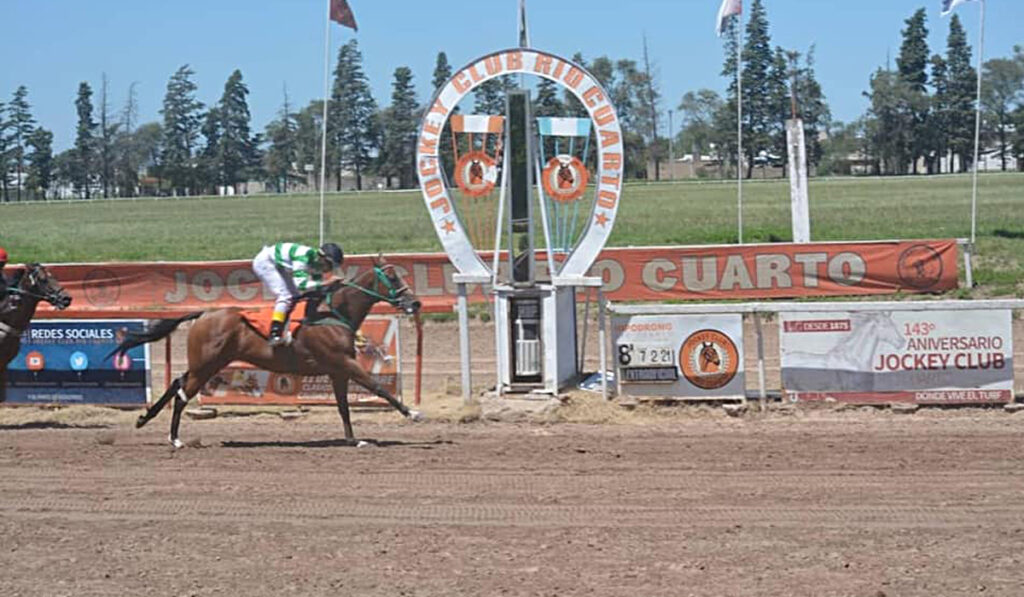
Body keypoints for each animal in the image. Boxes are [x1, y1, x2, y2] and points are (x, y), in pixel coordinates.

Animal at [114, 257, 425, 448]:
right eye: (393, 277)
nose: (416, 303)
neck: (333, 314)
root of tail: (203, 314)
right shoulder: (344, 363)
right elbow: (378, 387)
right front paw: (413, 413)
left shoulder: (337, 370)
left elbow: (344, 407)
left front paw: (353, 439)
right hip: (207, 365)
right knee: (181, 394)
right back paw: (175, 439)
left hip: (206, 363)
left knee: (177, 383)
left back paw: (145, 419)